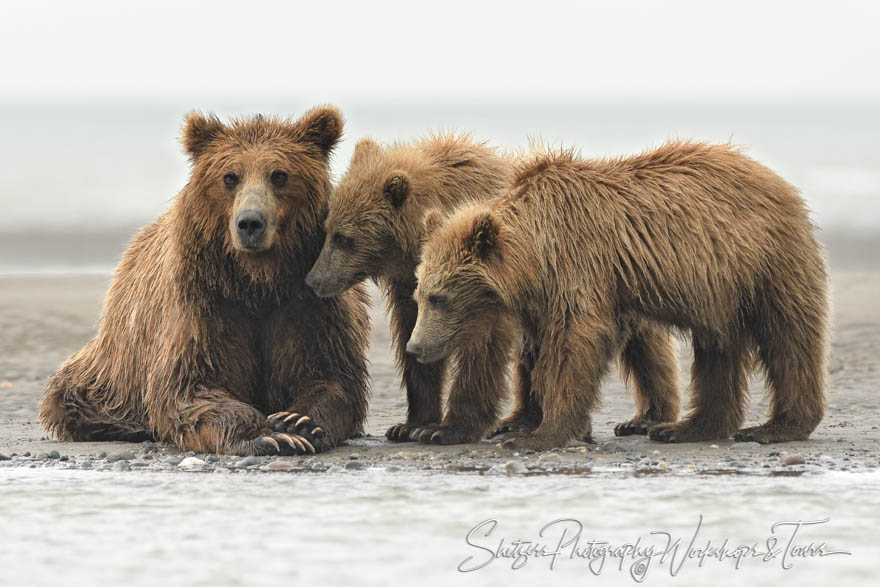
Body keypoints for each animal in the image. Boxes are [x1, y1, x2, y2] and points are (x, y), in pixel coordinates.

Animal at [40, 107, 372, 454]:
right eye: (230, 176)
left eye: (280, 174)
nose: (250, 223)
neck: (258, 281)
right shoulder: (204, 305)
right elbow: (189, 385)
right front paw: (266, 434)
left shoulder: (308, 304)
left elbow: (329, 376)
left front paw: (297, 422)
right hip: (113, 367)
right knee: (71, 395)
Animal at [306, 134, 516, 446]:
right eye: (327, 229)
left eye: (344, 238)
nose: (314, 279)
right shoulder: (411, 284)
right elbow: (414, 335)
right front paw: (411, 425)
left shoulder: (477, 286)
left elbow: (482, 348)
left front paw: (449, 428)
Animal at [410, 141, 828, 450]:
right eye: (420, 294)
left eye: (439, 297)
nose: (415, 347)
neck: (535, 252)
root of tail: (781, 182)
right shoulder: (540, 294)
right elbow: (536, 350)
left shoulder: (578, 263)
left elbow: (573, 343)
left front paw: (538, 435)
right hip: (721, 290)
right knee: (717, 351)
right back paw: (687, 428)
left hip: (764, 262)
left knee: (788, 338)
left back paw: (777, 426)